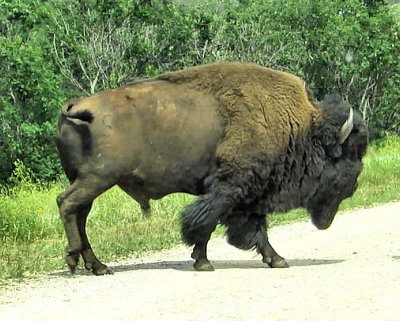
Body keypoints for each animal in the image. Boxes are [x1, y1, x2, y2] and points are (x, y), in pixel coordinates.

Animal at [56, 61, 368, 274]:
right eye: (345, 154)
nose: (354, 185)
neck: (297, 127)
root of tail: (75, 106)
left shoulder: (247, 192)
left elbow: (241, 226)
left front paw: (270, 259)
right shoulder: (231, 188)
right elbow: (209, 221)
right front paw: (207, 262)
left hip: (87, 180)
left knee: (79, 213)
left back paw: (97, 266)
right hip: (98, 177)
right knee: (67, 204)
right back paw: (75, 259)